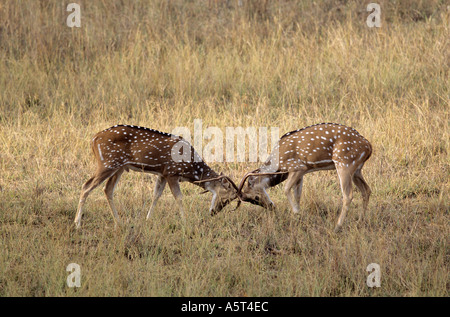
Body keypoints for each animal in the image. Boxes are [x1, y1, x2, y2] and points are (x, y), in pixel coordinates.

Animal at [74, 124, 241, 227]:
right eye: (228, 196)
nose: (214, 212)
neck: (190, 167)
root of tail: (93, 139)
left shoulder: (162, 174)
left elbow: (156, 195)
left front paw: (148, 219)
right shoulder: (171, 172)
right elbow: (179, 197)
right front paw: (186, 221)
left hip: (119, 167)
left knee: (107, 189)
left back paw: (119, 222)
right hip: (107, 164)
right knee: (86, 185)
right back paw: (77, 223)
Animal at [237, 122, 370, 231]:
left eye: (255, 198)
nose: (271, 207)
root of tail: (369, 147)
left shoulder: (298, 167)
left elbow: (286, 189)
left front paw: (296, 213)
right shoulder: (301, 174)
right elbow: (297, 195)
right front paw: (298, 217)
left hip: (345, 164)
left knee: (348, 195)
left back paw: (337, 227)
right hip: (357, 170)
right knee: (366, 190)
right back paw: (360, 222)